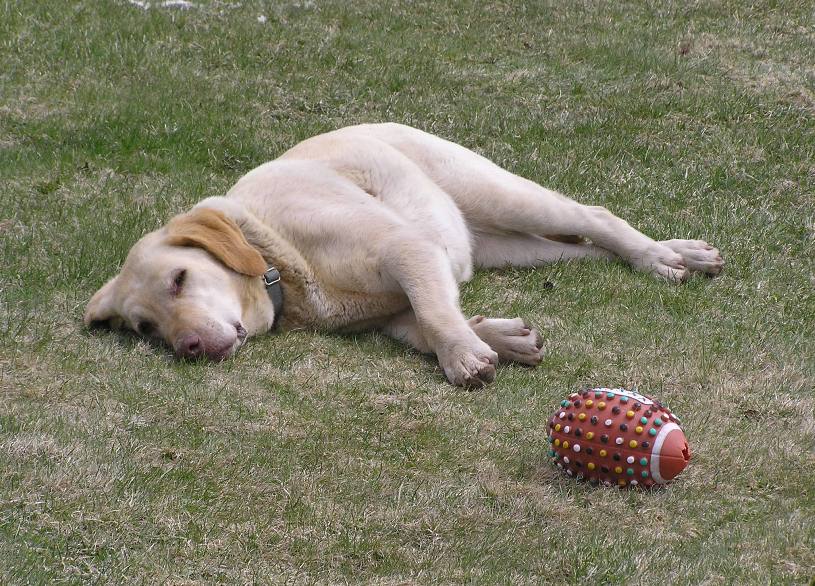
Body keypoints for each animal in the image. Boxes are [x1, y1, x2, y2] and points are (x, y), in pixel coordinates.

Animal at [84, 122, 720, 386]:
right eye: (145, 329)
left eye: (180, 279)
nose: (187, 348)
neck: (278, 261)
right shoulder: (391, 311)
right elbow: (432, 322)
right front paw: (500, 340)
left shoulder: (406, 249)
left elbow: (437, 316)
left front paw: (465, 359)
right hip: (511, 248)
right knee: (588, 249)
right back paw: (679, 253)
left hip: (504, 197)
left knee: (596, 217)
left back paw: (662, 259)